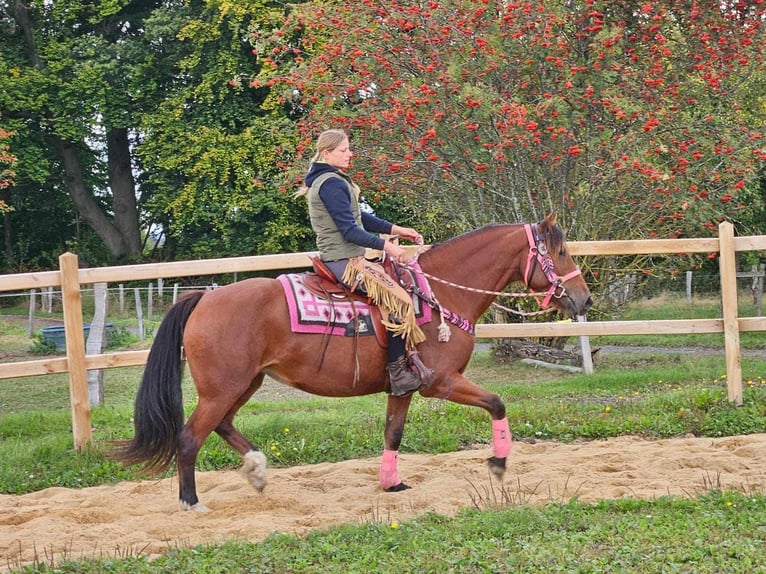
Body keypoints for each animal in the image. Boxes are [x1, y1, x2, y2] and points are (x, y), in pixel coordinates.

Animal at [112, 213, 592, 512]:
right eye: (561, 252)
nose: (584, 299)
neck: (440, 295)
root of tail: (203, 298)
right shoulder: (442, 381)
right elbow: (496, 402)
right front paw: (498, 463)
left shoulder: (405, 387)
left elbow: (393, 432)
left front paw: (391, 482)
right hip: (222, 388)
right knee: (190, 437)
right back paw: (192, 502)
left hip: (244, 384)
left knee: (224, 425)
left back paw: (258, 472)